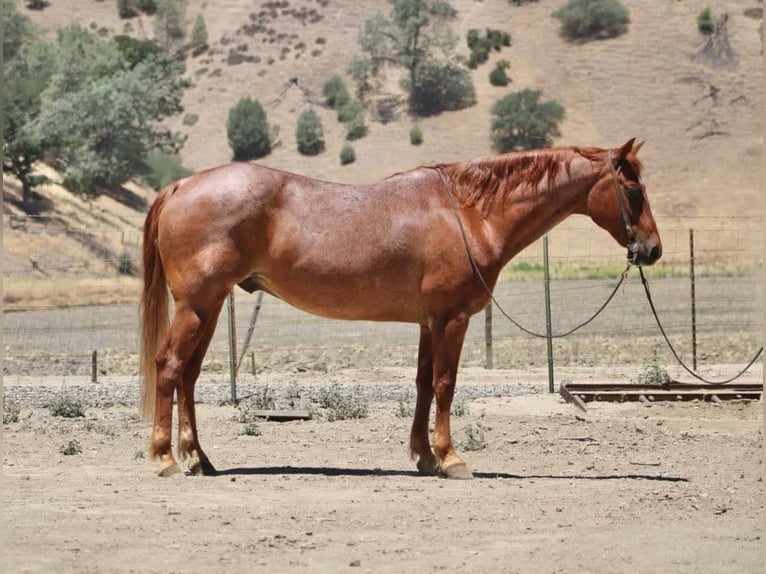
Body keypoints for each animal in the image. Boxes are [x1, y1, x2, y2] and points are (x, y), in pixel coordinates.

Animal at [139, 138, 662, 478]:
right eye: (633, 191)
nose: (652, 250)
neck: (468, 213)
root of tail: (181, 186)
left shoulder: (430, 322)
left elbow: (424, 384)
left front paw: (425, 457)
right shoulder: (452, 320)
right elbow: (446, 385)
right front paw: (452, 459)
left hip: (208, 308)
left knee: (188, 376)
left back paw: (199, 459)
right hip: (196, 307)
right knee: (169, 367)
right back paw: (166, 459)